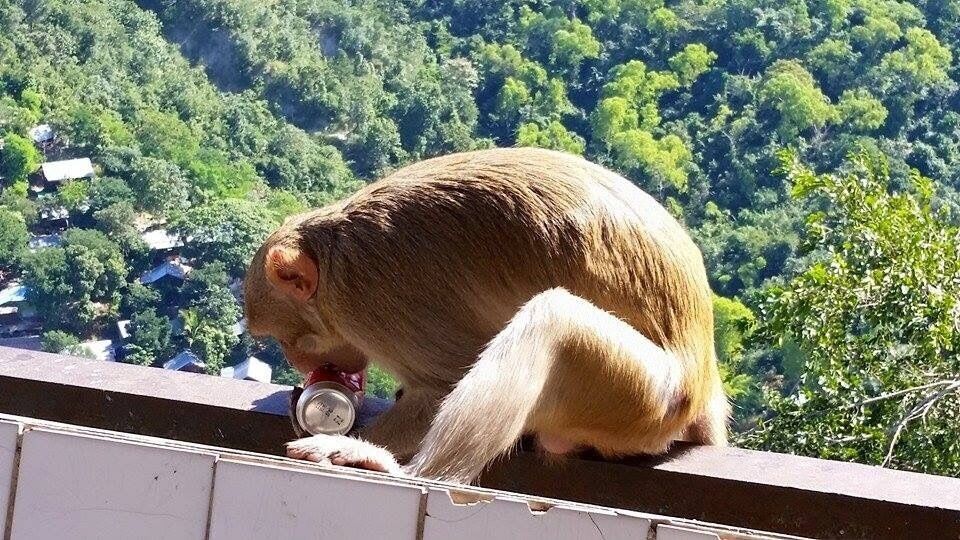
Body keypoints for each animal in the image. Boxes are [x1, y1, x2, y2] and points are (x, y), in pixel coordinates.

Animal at [243, 147, 729, 485]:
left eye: (289, 340)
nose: (300, 363)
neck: (333, 255)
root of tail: (701, 377)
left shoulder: (374, 303)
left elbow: (442, 385)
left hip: (644, 398)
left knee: (551, 319)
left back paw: (403, 471)